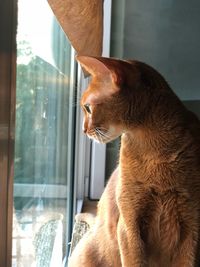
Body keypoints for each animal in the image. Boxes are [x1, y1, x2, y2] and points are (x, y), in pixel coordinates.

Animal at [68, 55, 200, 266]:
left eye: (87, 108)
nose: (83, 130)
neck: (156, 150)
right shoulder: (129, 224)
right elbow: (134, 260)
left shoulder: (192, 226)